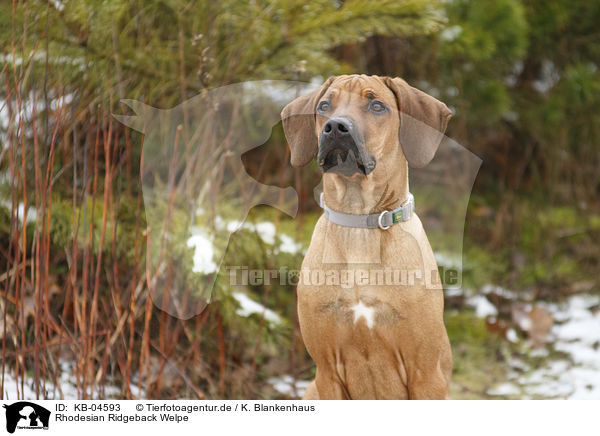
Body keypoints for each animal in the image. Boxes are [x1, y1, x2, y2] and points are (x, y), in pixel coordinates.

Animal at [282, 74, 454, 398]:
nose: (336, 127)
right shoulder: (327, 373)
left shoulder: (425, 373)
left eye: (376, 106)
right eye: (324, 105)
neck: (359, 222)